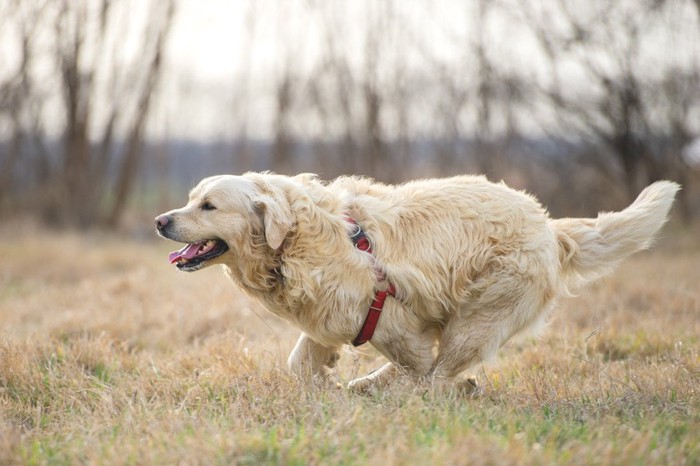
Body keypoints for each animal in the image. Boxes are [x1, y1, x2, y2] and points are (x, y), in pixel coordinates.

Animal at [154, 172, 680, 394]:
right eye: (191, 199)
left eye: (208, 206)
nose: (160, 220)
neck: (295, 241)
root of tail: (550, 228)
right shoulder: (332, 317)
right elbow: (299, 363)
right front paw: (325, 384)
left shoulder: (391, 319)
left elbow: (415, 366)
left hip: (478, 317)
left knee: (440, 372)